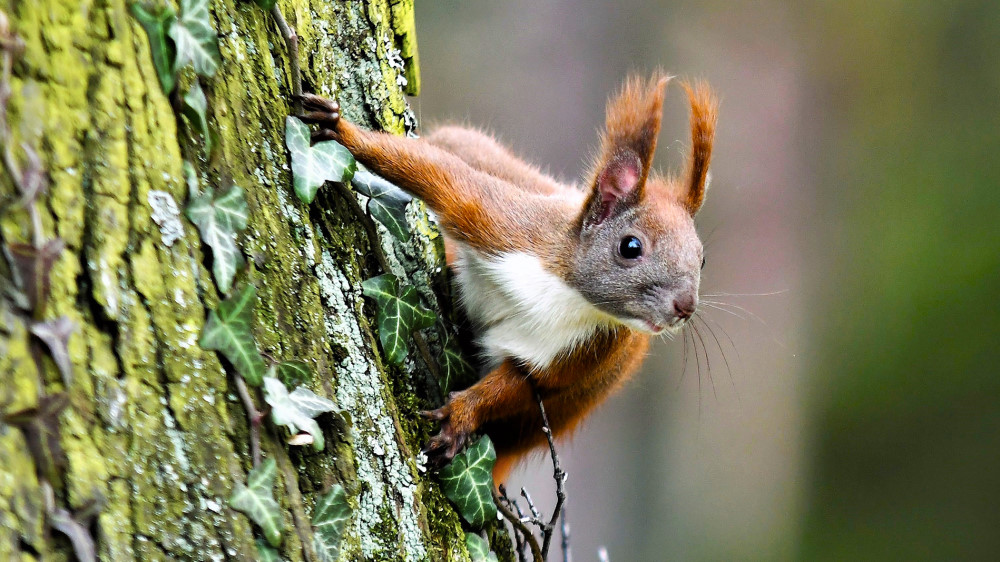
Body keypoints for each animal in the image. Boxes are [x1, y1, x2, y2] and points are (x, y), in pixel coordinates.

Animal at [296, 71, 720, 482]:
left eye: (702, 260)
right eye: (631, 247)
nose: (686, 307)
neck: (565, 291)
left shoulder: (580, 352)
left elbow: (517, 384)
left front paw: (461, 416)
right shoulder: (504, 225)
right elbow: (438, 176)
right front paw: (342, 130)